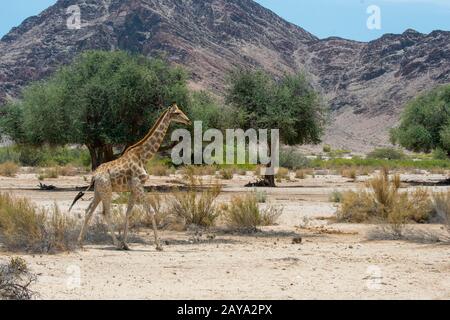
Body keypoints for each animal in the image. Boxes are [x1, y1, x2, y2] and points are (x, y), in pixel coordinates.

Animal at [70, 104, 192, 251]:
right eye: (177, 113)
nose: (188, 121)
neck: (144, 157)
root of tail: (94, 175)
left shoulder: (134, 188)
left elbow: (128, 212)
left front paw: (126, 244)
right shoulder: (138, 184)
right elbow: (150, 211)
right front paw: (158, 245)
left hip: (98, 191)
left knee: (89, 210)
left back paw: (80, 243)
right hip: (107, 190)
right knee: (106, 212)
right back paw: (115, 244)